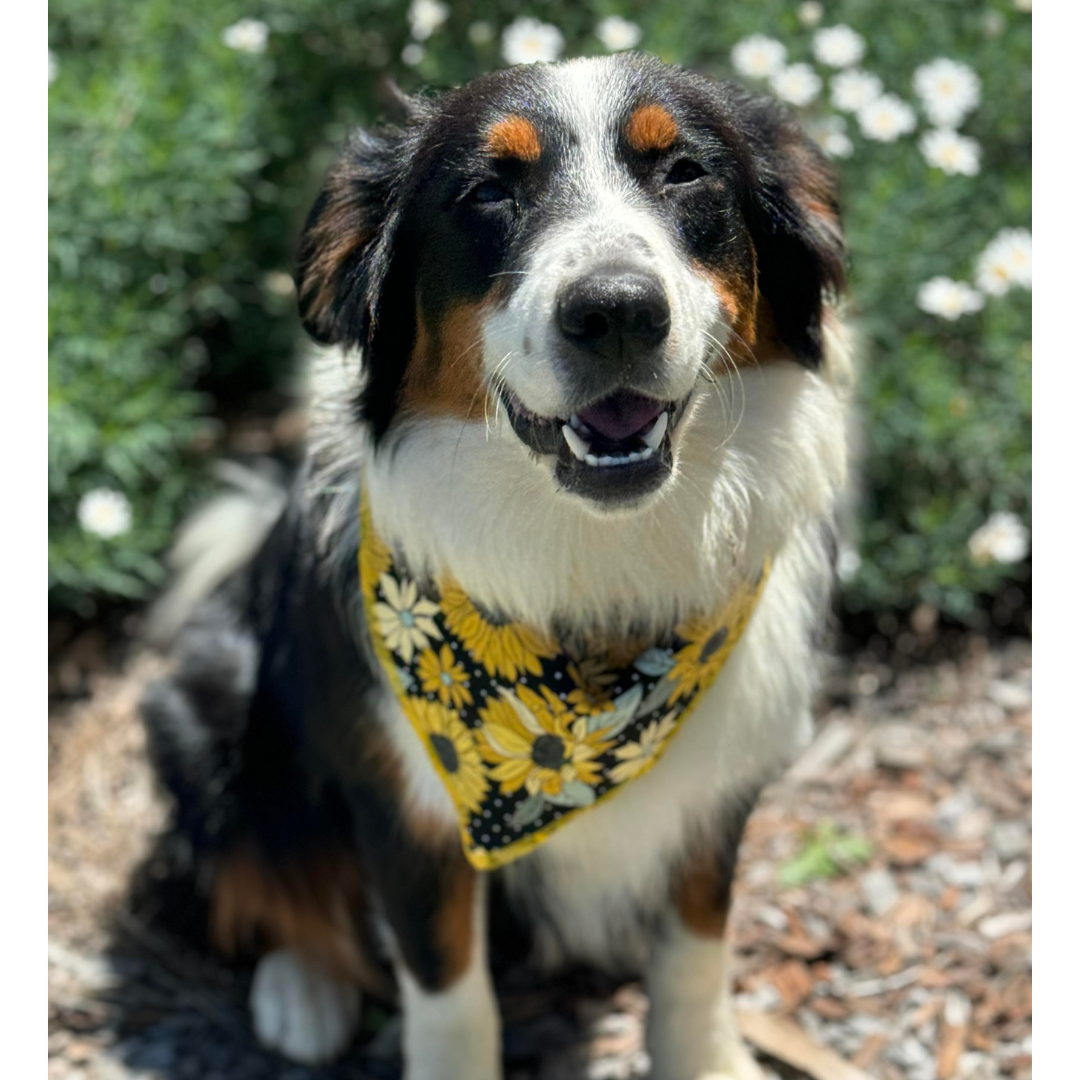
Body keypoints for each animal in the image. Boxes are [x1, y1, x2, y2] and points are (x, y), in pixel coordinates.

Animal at [141, 50, 851, 1080]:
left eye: (684, 172)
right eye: (487, 192)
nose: (616, 310)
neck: (593, 579)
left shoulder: (715, 790)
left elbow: (695, 953)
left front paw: (708, 1061)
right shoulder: (406, 807)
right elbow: (447, 991)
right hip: (204, 707)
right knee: (255, 870)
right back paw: (302, 987)